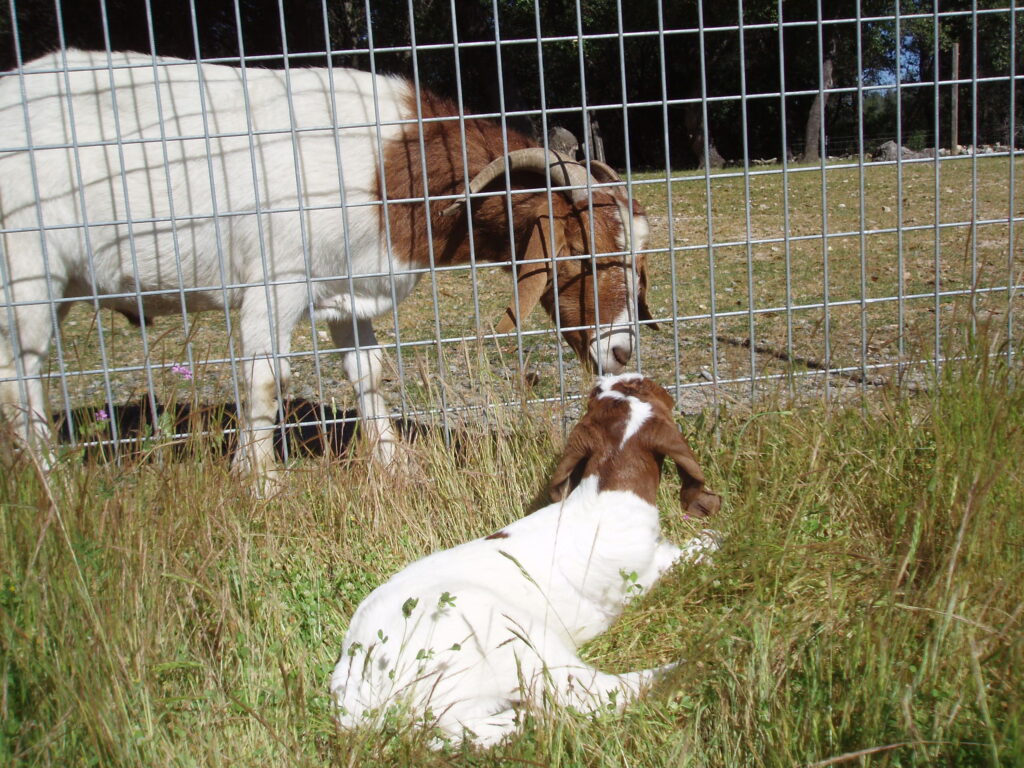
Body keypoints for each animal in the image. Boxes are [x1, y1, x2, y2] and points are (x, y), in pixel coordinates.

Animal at [0, 49, 655, 477]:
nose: (622, 350)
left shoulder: (349, 287)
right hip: (27, 271)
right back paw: (52, 481)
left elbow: (368, 371)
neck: (388, 169)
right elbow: (265, 378)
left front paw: (392, 463)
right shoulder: (276, 281)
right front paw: (260, 482)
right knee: (18, 377)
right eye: (589, 253)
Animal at [330, 373, 721, 747]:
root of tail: (361, 690)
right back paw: (691, 665)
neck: (605, 493)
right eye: (641, 386)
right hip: (516, 637)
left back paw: (516, 721)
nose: (603, 377)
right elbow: (697, 549)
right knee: (591, 693)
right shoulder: (645, 573)